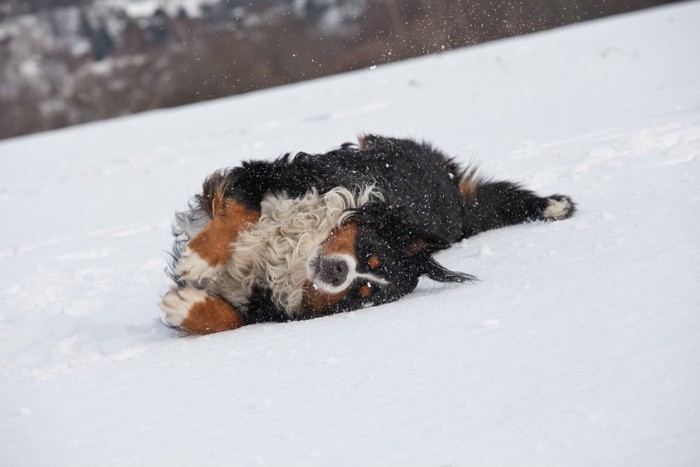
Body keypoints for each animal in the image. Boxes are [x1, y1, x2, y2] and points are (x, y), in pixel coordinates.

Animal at [160, 133, 576, 334]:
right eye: (366, 248)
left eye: (364, 291)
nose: (337, 272)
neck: (297, 249)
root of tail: (456, 203)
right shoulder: (268, 177)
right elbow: (239, 216)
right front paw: (199, 258)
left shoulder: (264, 306)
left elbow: (233, 319)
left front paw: (186, 307)